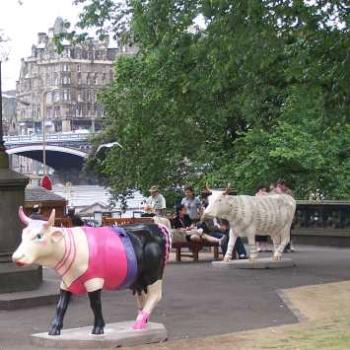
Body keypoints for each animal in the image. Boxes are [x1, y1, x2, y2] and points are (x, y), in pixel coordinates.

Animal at [13, 208, 172, 336]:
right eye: (22, 235)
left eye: (39, 236)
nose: (16, 257)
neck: (71, 246)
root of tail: (157, 226)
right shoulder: (66, 281)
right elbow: (61, 306)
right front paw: (54, 329)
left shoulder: (94, 281)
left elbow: (95, 305)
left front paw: (98, 328)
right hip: (138, 279)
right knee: (143, 297)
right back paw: (143, 322)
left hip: (154, 275)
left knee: (155, 296)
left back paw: (138, 323)